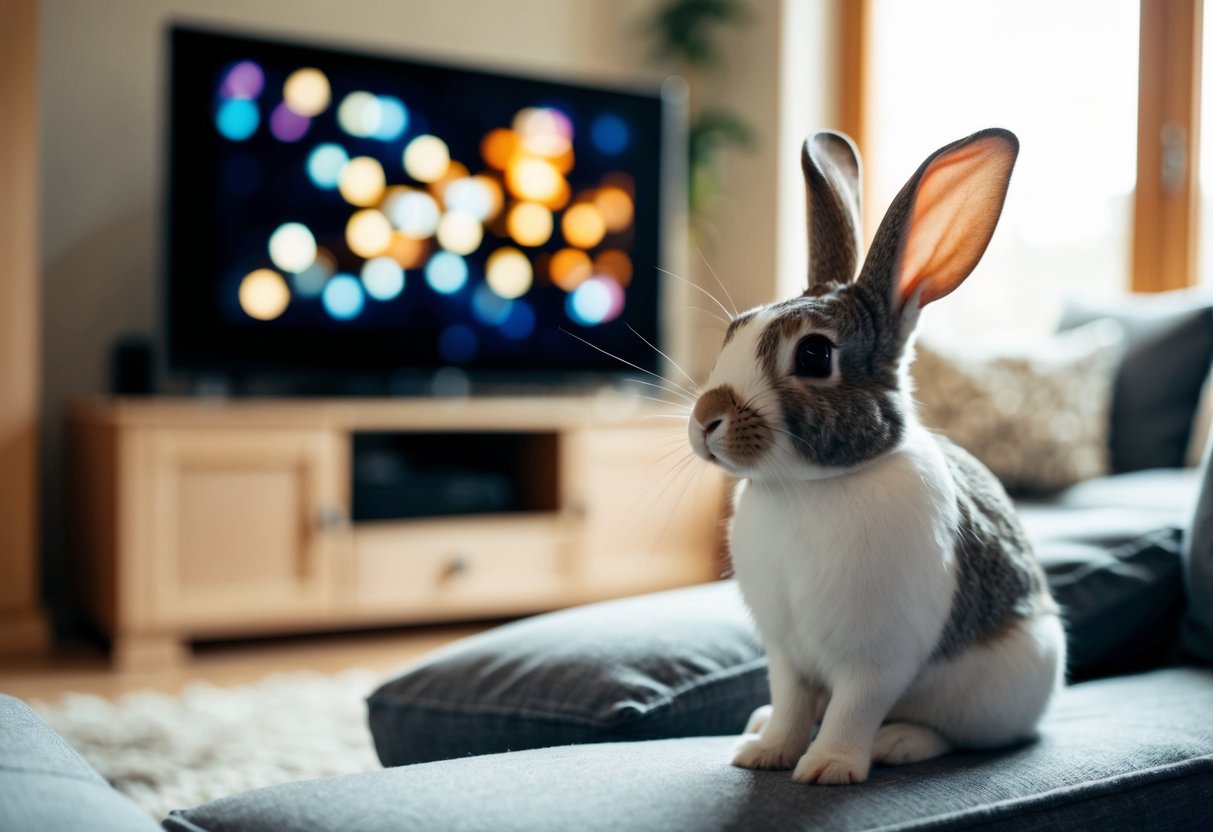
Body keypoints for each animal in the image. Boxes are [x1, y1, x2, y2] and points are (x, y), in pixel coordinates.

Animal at [687, 128, 1065, 785]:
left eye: (814, 355)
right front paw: (765, 755)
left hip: (1005, 687)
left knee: (958, 735)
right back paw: (758, 725)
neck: (807, 486)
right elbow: (792, 703)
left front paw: (827, 769)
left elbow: (853, 709)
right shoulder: (785, 652)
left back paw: (901, 743)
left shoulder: (876, 658)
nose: (707, 417)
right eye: (734, 331)